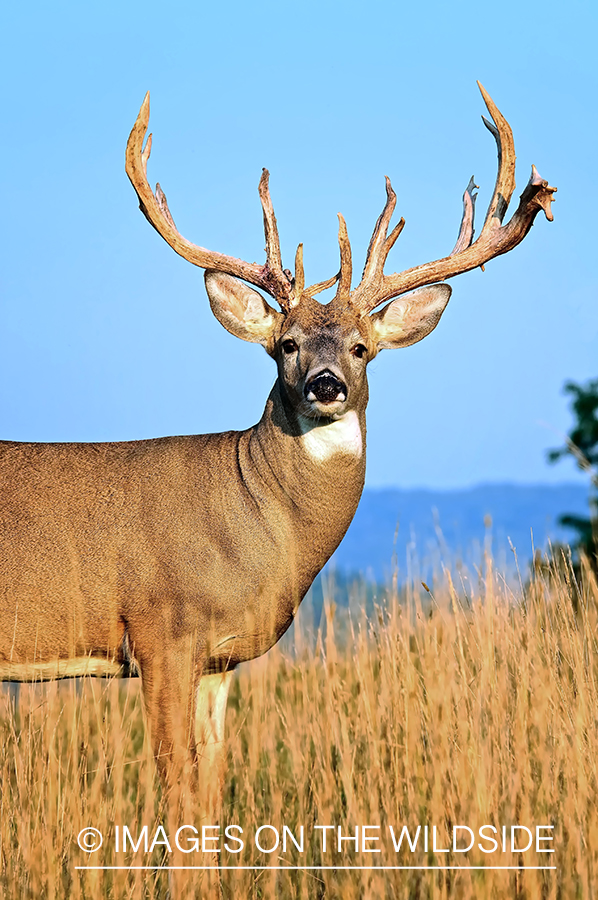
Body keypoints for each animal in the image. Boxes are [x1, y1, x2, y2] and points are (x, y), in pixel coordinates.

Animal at [0, 84, 556, 812]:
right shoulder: (159, 630)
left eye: (360, 347)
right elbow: (177, 787)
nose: (325, 384)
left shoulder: (218, 658)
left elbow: (210, 787)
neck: (260, 522)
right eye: (286, 344)